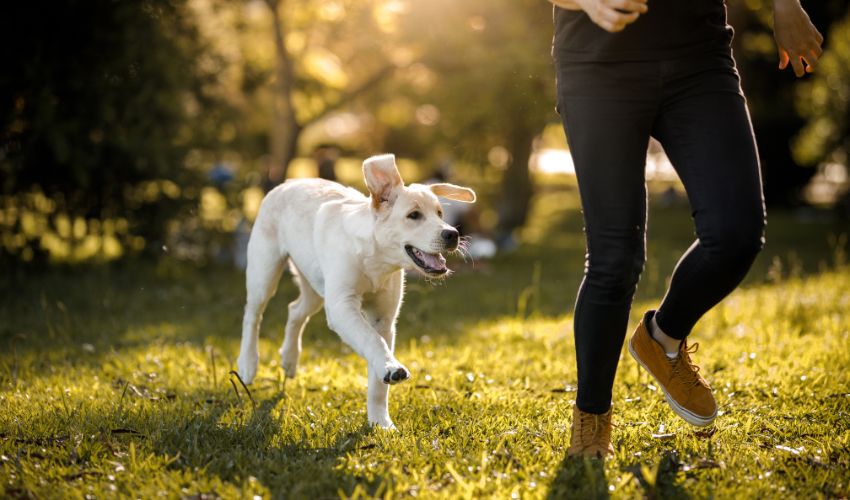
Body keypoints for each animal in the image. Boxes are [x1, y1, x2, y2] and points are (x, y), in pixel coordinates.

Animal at [237, 154, 476, 428]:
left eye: (440, 213)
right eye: (414, 215)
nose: (452, 234)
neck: (376, 259)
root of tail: (288, 182)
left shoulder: (384, 319)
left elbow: (377, 372)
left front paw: (381, 422)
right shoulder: (341, 306)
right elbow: (371, 341)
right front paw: (391, 369)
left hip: (316, 285)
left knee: (295, 310)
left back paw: (289, 358)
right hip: (264, 271)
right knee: (253, 315)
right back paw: (248, 363)